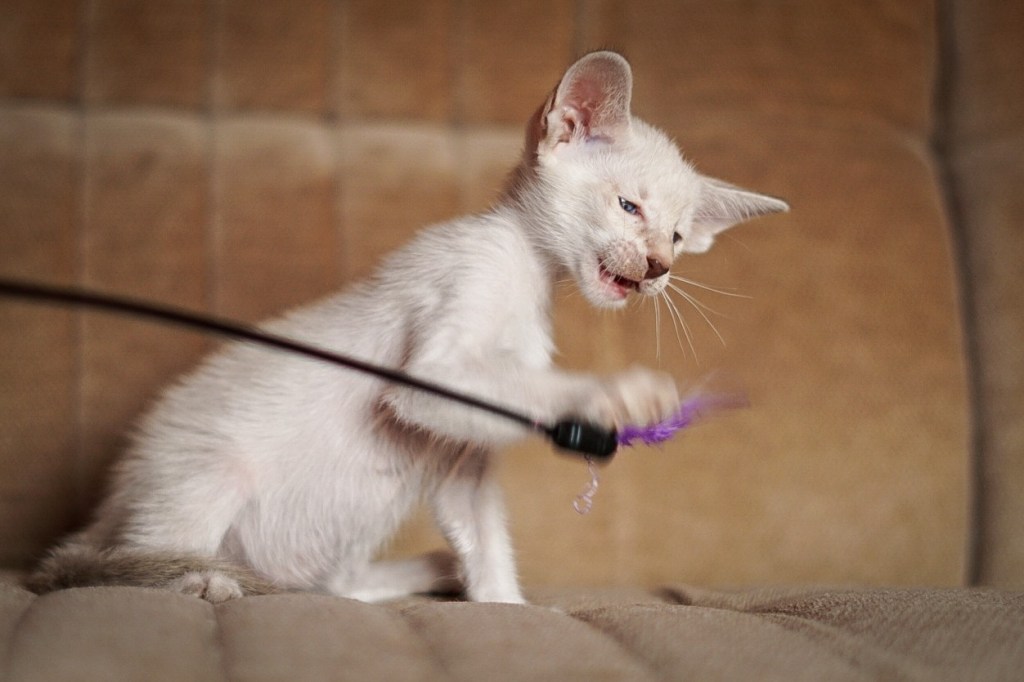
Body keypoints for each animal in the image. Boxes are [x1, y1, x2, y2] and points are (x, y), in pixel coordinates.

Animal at [28, 51, 787, 604]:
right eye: (629, 207)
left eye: (680, 236)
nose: (659, 267)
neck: (528, 276)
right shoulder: (445, 339)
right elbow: (497, 385)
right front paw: (617, 396)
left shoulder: (461, 459)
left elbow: (485, 539)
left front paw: (504, 605)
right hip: (203, 473)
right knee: (109, 563)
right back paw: (200, 579)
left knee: (332, 584)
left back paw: (421, 573)